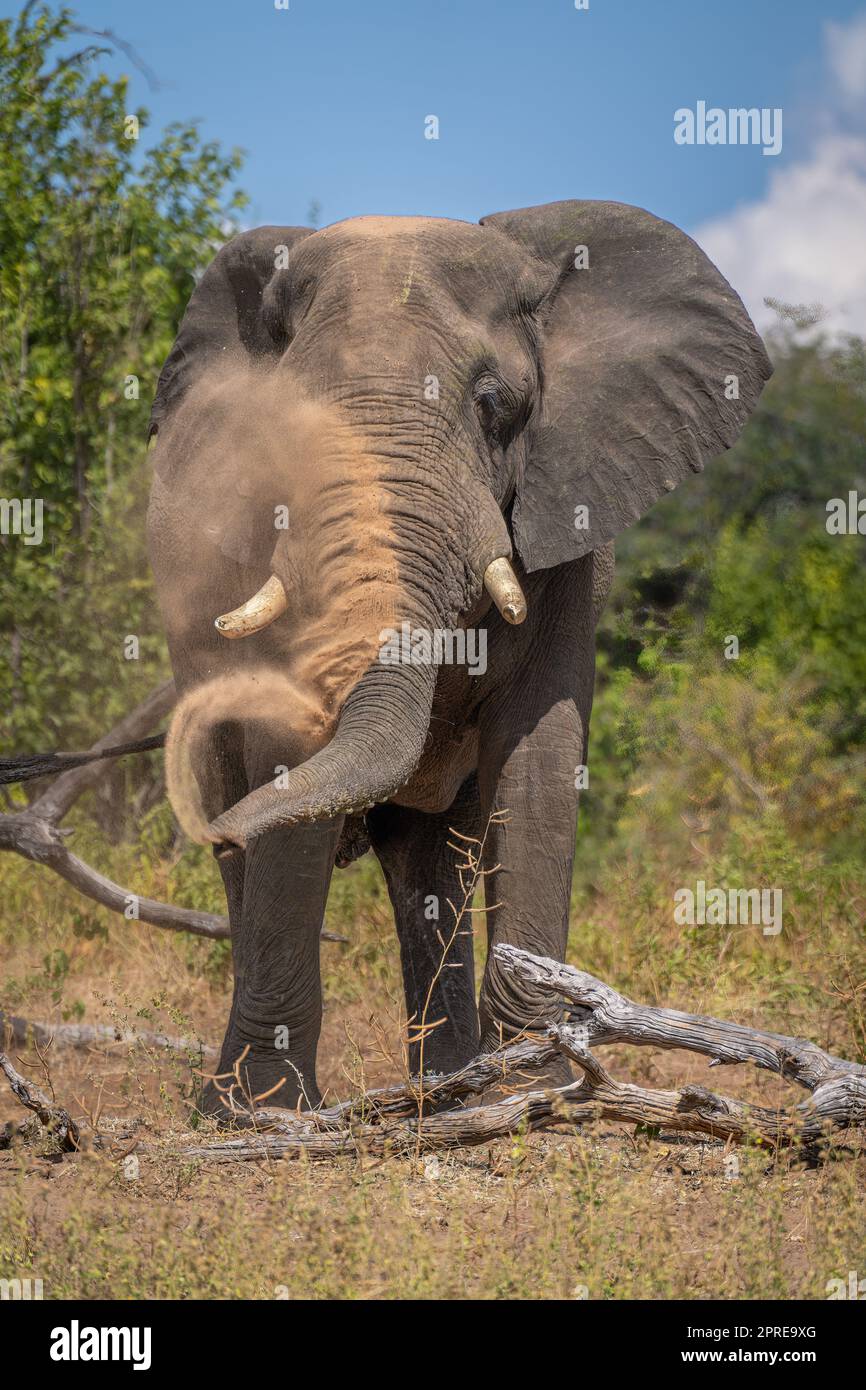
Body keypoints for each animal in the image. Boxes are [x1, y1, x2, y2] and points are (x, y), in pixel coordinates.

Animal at [143, 201, 772, 1112]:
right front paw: (267, 1113)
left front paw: (531, 1087)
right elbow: (288, 746)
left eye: (493, 403)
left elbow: (540, 751)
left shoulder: (566, 527)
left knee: (428, 860)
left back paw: (444, 1088)